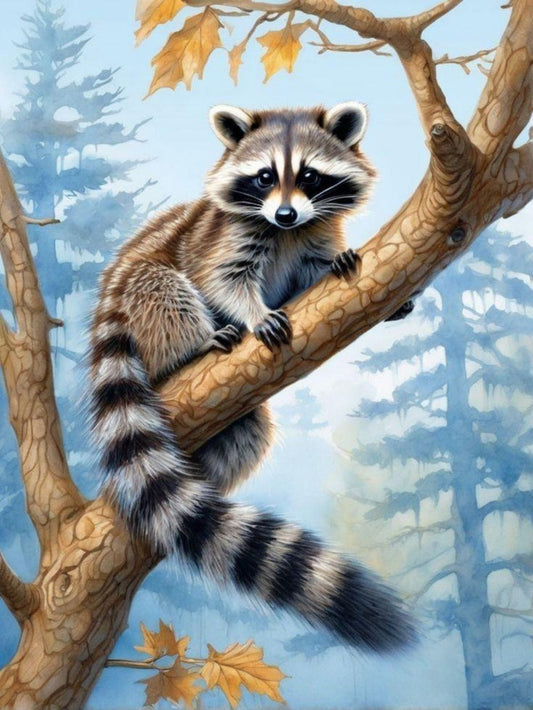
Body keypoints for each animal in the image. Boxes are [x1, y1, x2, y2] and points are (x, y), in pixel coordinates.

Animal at [89, 103, 416, 651]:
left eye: (309, 176)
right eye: (264, 177)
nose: (284, 214)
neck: (285, 232)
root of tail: (106, 305)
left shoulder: (311, 235)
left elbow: (314, 273)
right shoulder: (222, 236)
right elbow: (221, 278)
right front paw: (251, 312)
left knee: (248, 434)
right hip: (138, 307)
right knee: (158, 284)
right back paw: (191, 346)